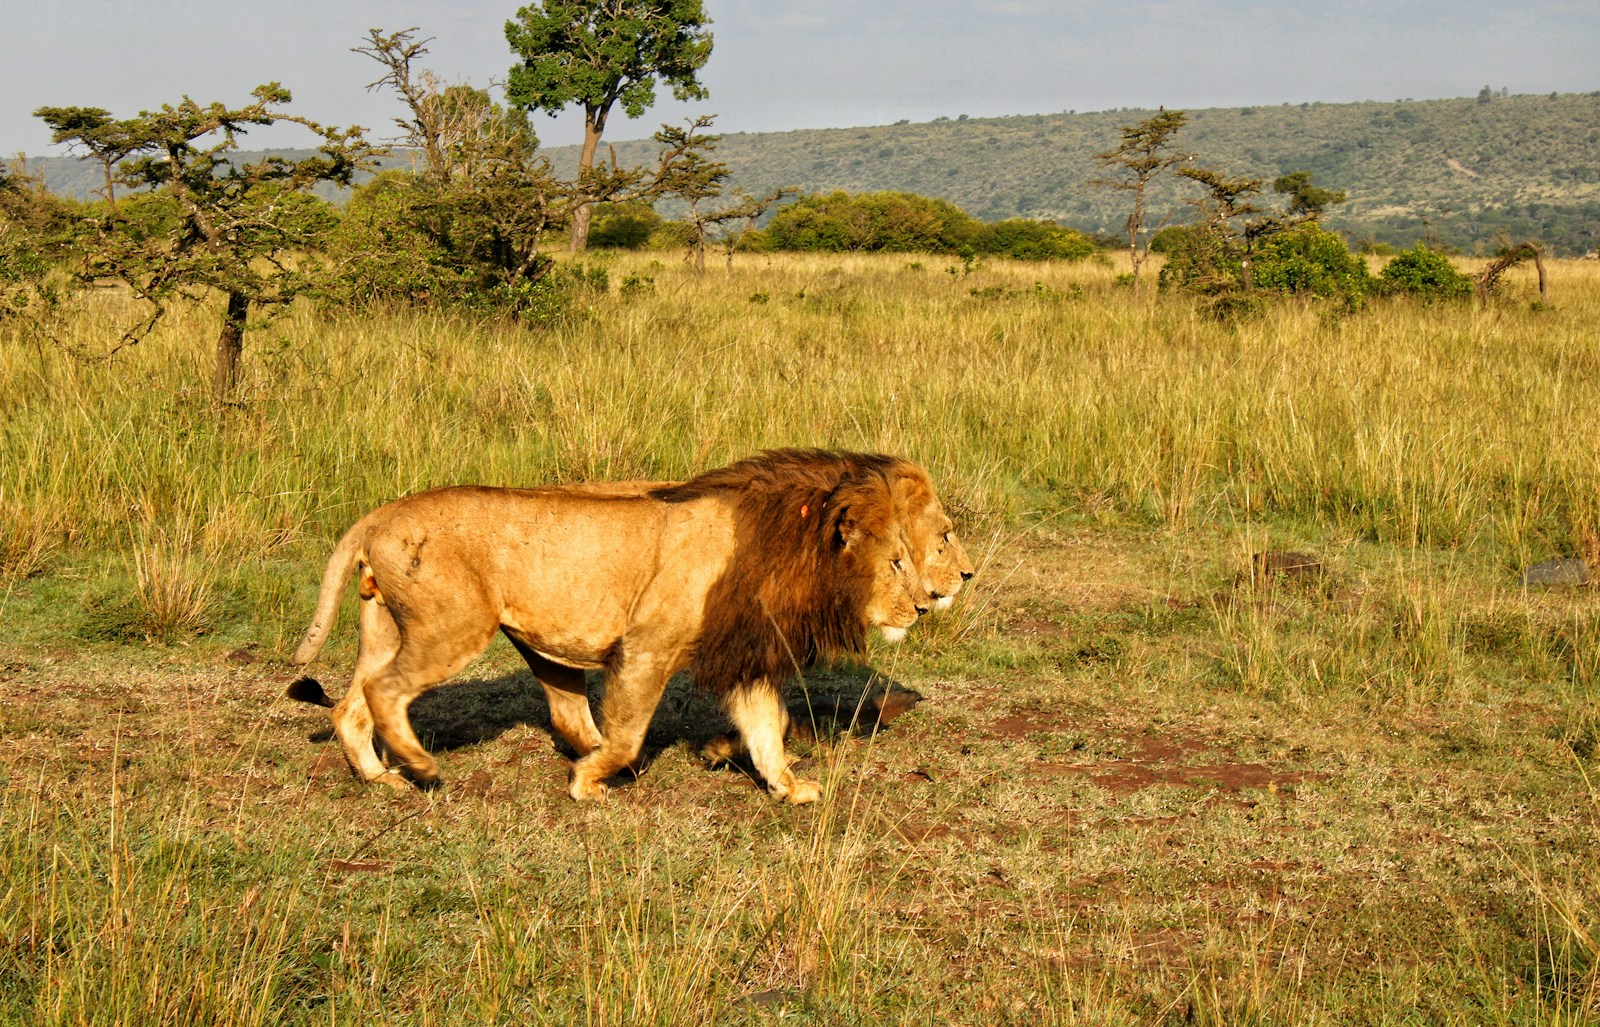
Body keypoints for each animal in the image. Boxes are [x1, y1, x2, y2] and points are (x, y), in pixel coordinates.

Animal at [289, 451, 937, 804]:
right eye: (897, 562)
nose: (924, 607)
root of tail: (380, 514)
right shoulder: (649, 646)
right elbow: (626, 735)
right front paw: (589, 781)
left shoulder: (741, 654)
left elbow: (766, 728)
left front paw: (786, 787)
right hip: (452, 626)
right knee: (383, 691)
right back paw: (420, 768)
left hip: (388, 628)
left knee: (349, 705)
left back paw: (379, 778)